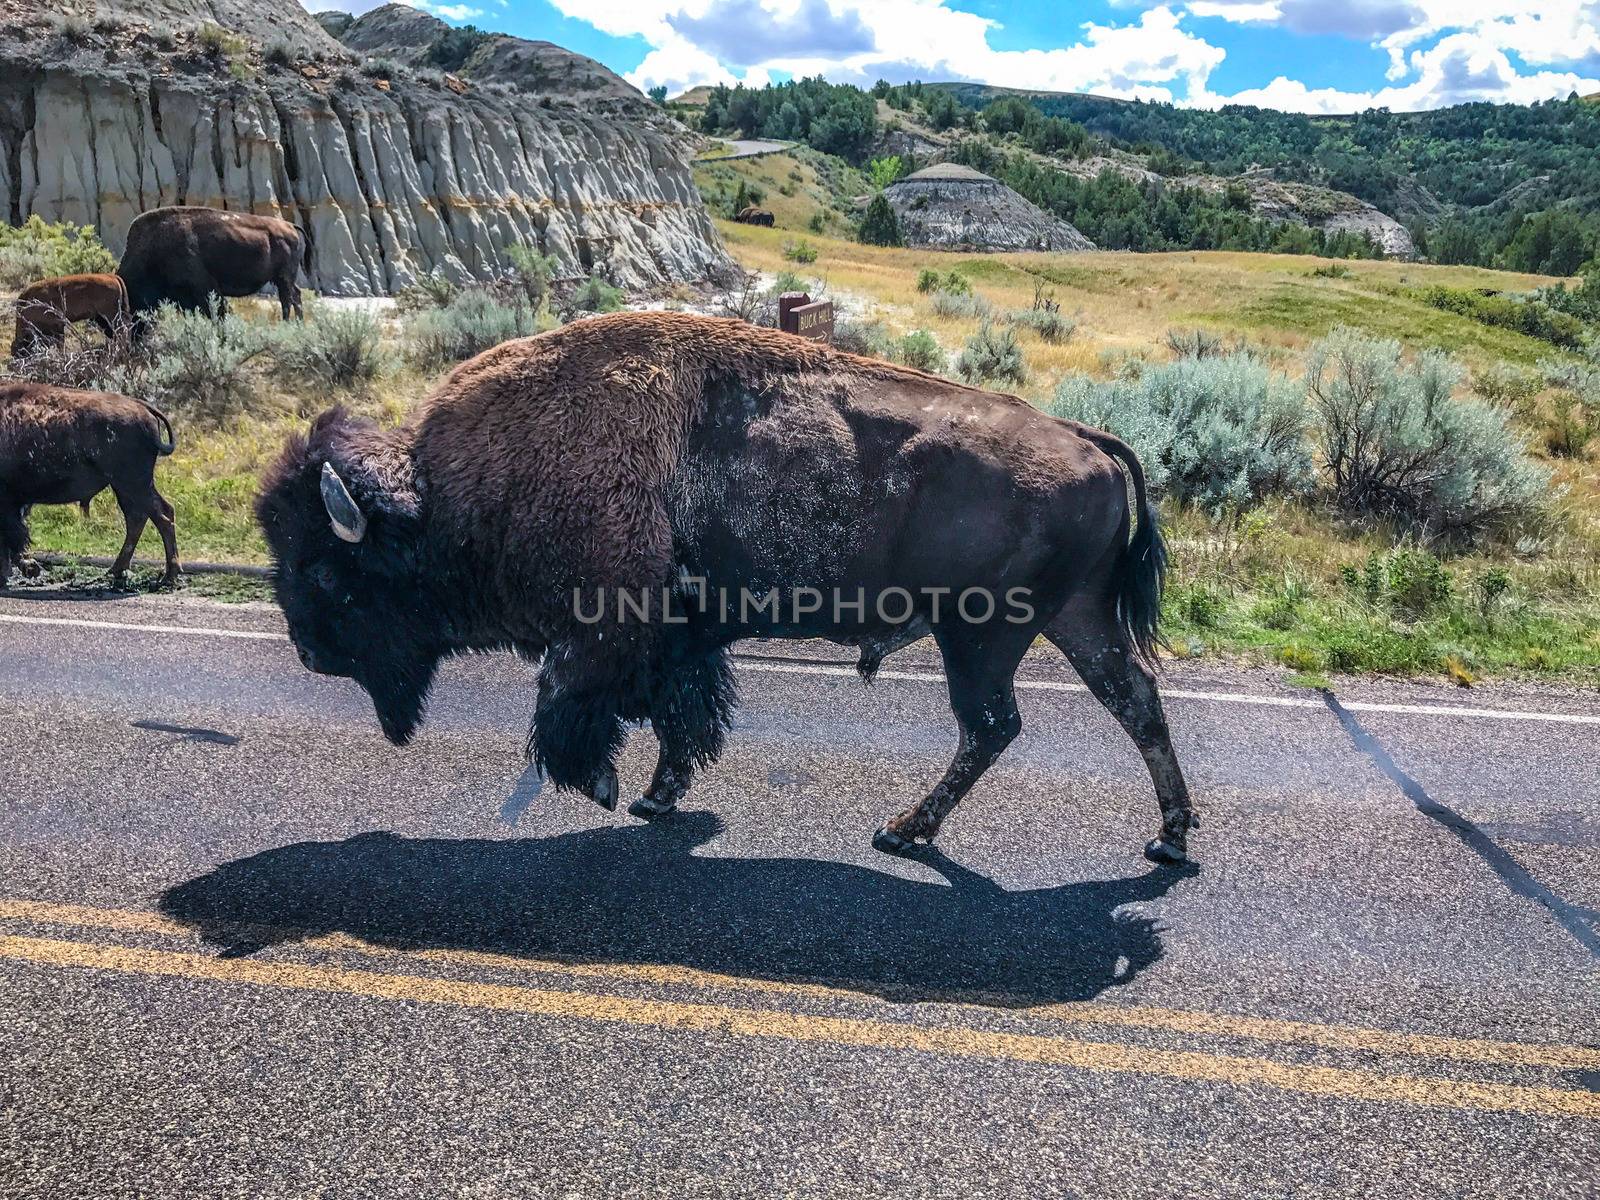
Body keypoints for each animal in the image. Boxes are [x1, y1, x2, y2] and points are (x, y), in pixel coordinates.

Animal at [0, 380, 181, 588]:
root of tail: (142, 408)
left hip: (133, 484)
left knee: (161, 515)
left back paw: (168, 576)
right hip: (125, 487)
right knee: (140, 518)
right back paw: (117, 571)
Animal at [118, 203, 305, 331]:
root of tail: (290, 226)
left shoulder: (205, 288)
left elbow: (218, 312)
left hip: (283, 277)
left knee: (287, 299)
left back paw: (287, 325)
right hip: (283, 278)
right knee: (295, 295)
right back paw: (298, 324)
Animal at [256, 310, 1196, 864]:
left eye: (326, 569)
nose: (306, 652)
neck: (454, 492)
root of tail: (1085, 435)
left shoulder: (603, 632)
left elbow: (569, 712)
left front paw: (611, 789)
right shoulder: (681, 640)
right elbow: (681, 717)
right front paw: (656, 797)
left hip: (984, 636)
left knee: (995, 725)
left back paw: (903, 830)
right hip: (1072, 620)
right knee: (1133, 701)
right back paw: (1171, 839)